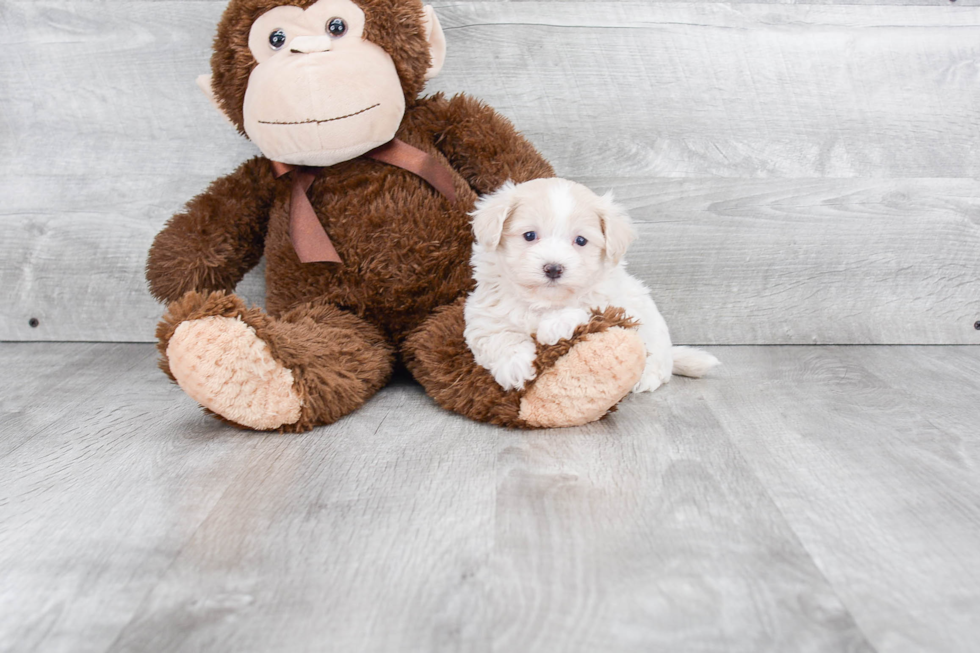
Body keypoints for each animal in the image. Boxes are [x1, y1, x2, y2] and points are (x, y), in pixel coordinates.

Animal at [464, 177, 716, 392]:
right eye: (529, 235)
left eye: (581, 241)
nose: (553, 268)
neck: (544, 300)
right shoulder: (485, 311)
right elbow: (497, 335)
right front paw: (515, 366)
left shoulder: (616, 302)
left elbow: (587, 305)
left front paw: (555, 325)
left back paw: (646, 378)